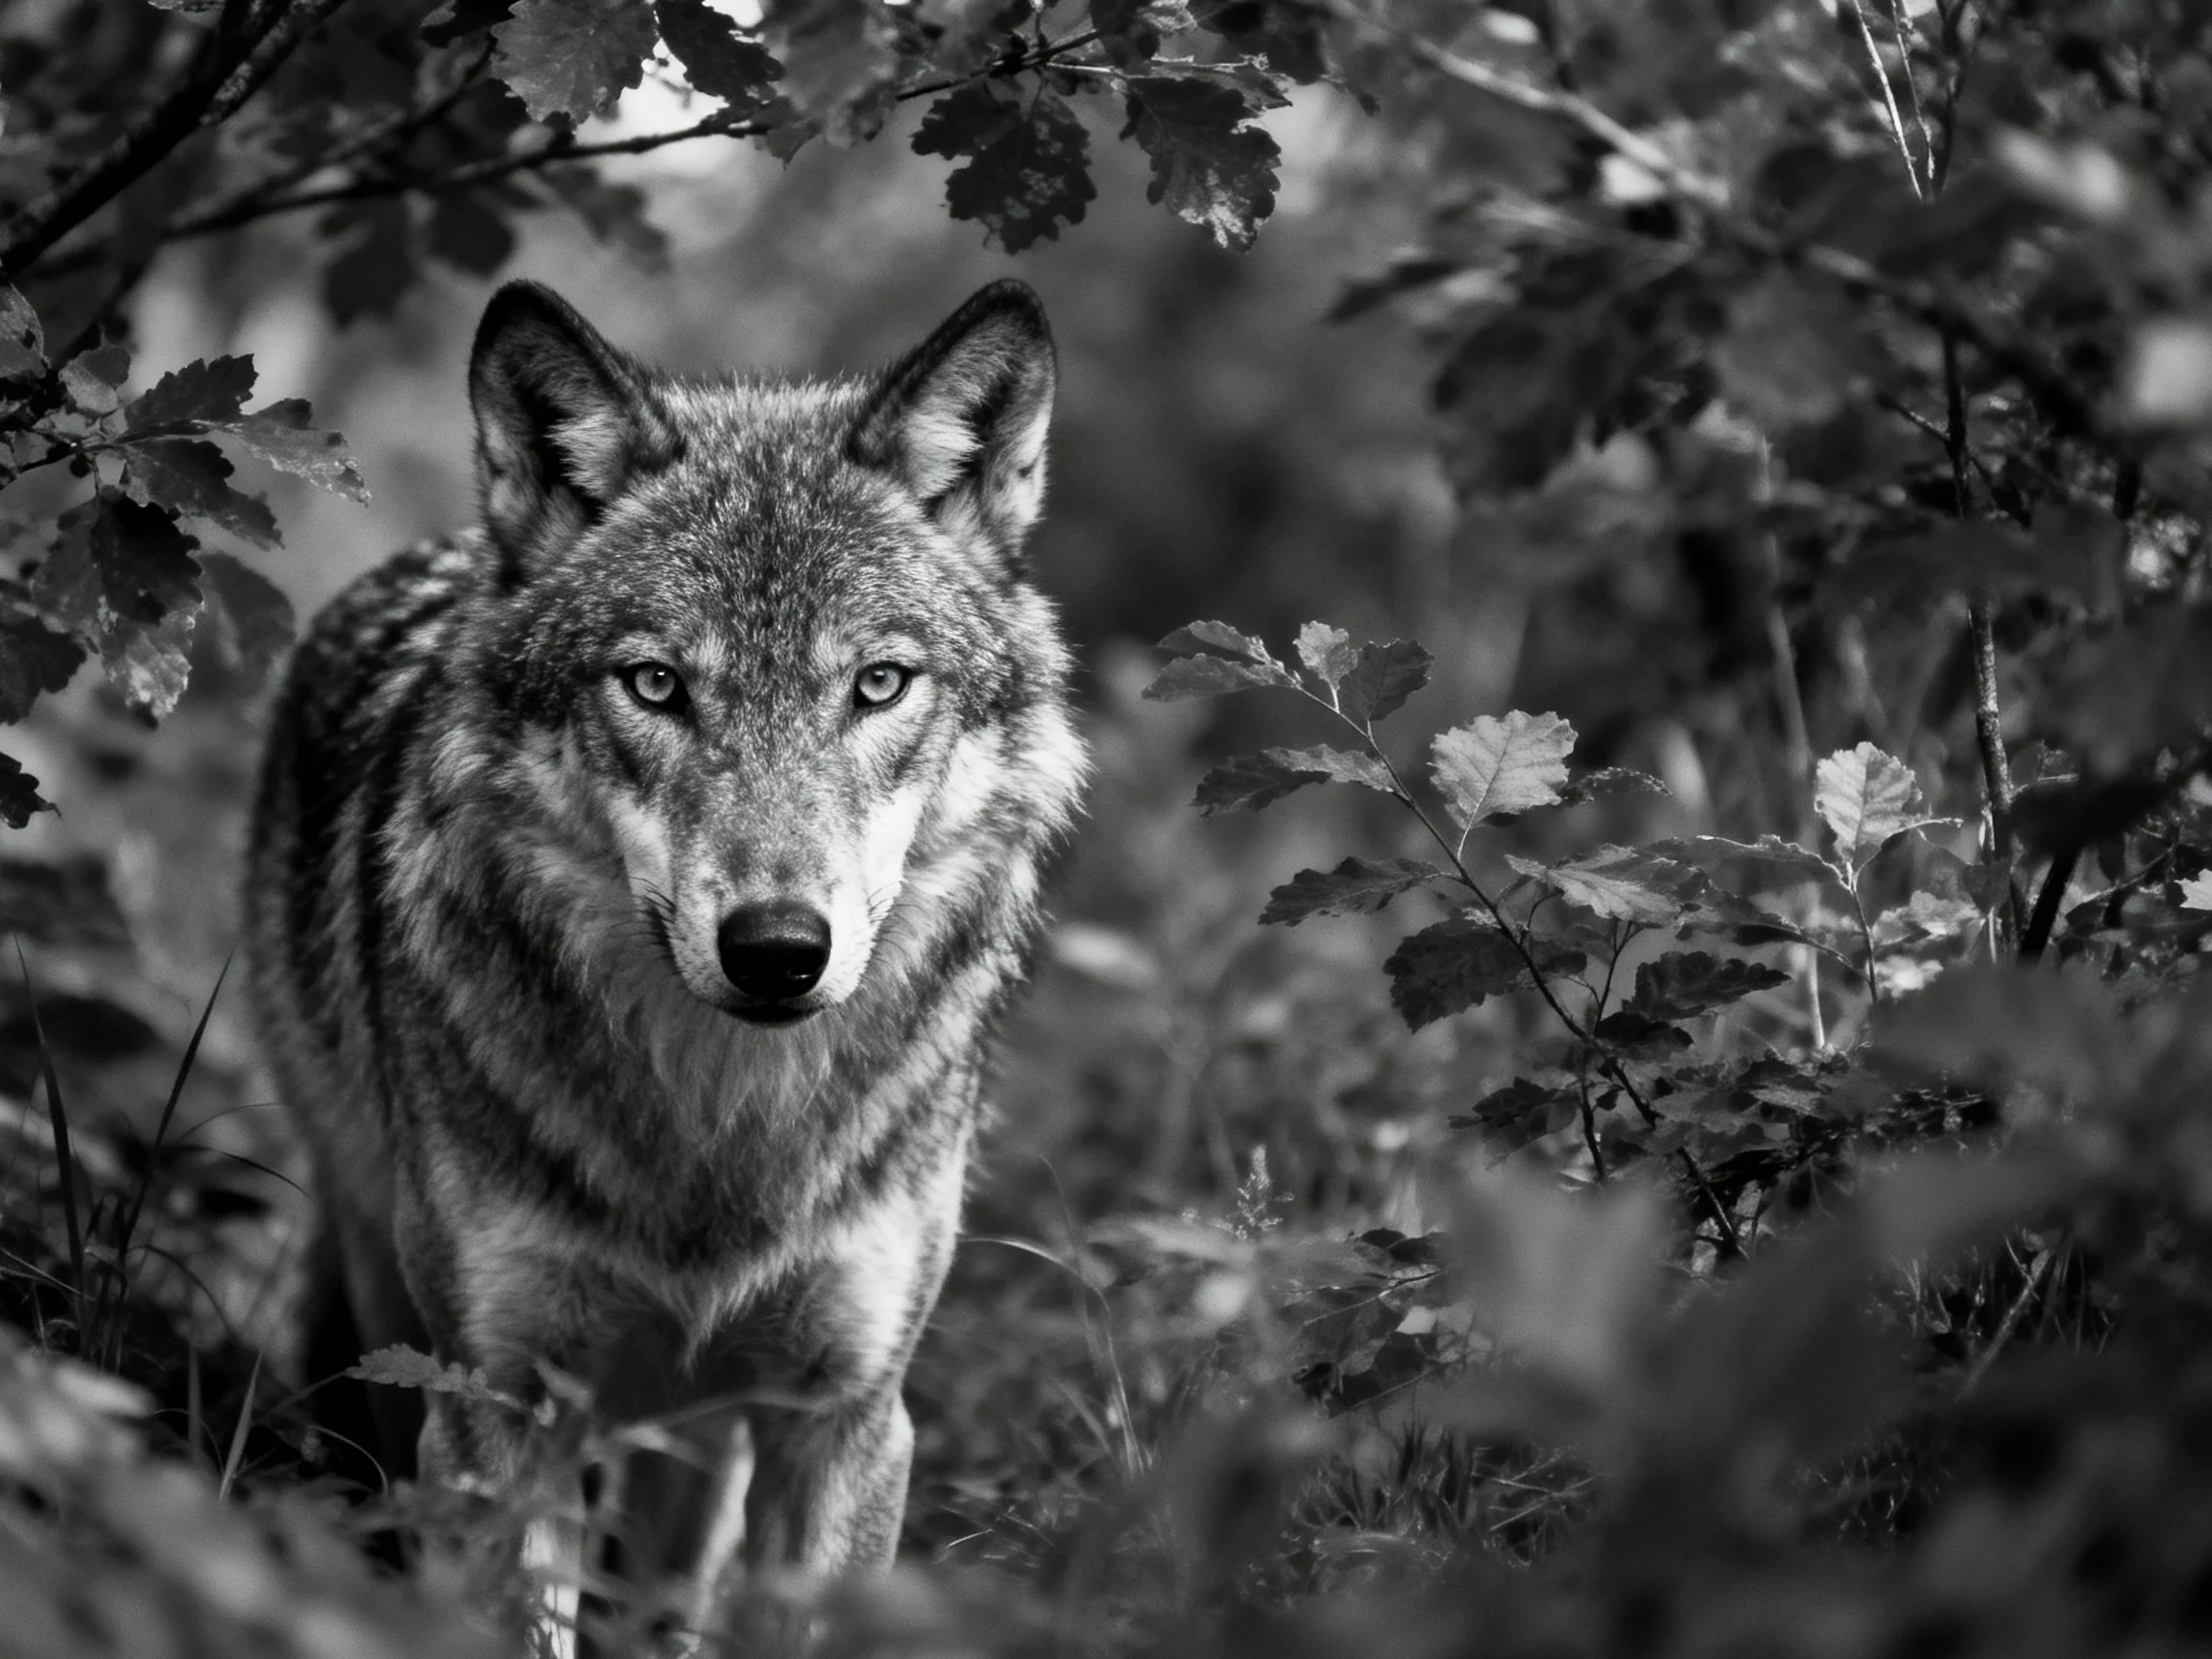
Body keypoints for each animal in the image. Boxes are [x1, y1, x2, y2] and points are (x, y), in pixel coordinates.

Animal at [242, 277, 1085, 1630]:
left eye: (879, 685)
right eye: (654, 685)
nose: (778, 950)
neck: (716, 1136)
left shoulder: (842, 1417)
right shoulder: (495, 1410)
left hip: (695, 1427)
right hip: (384, 1289)